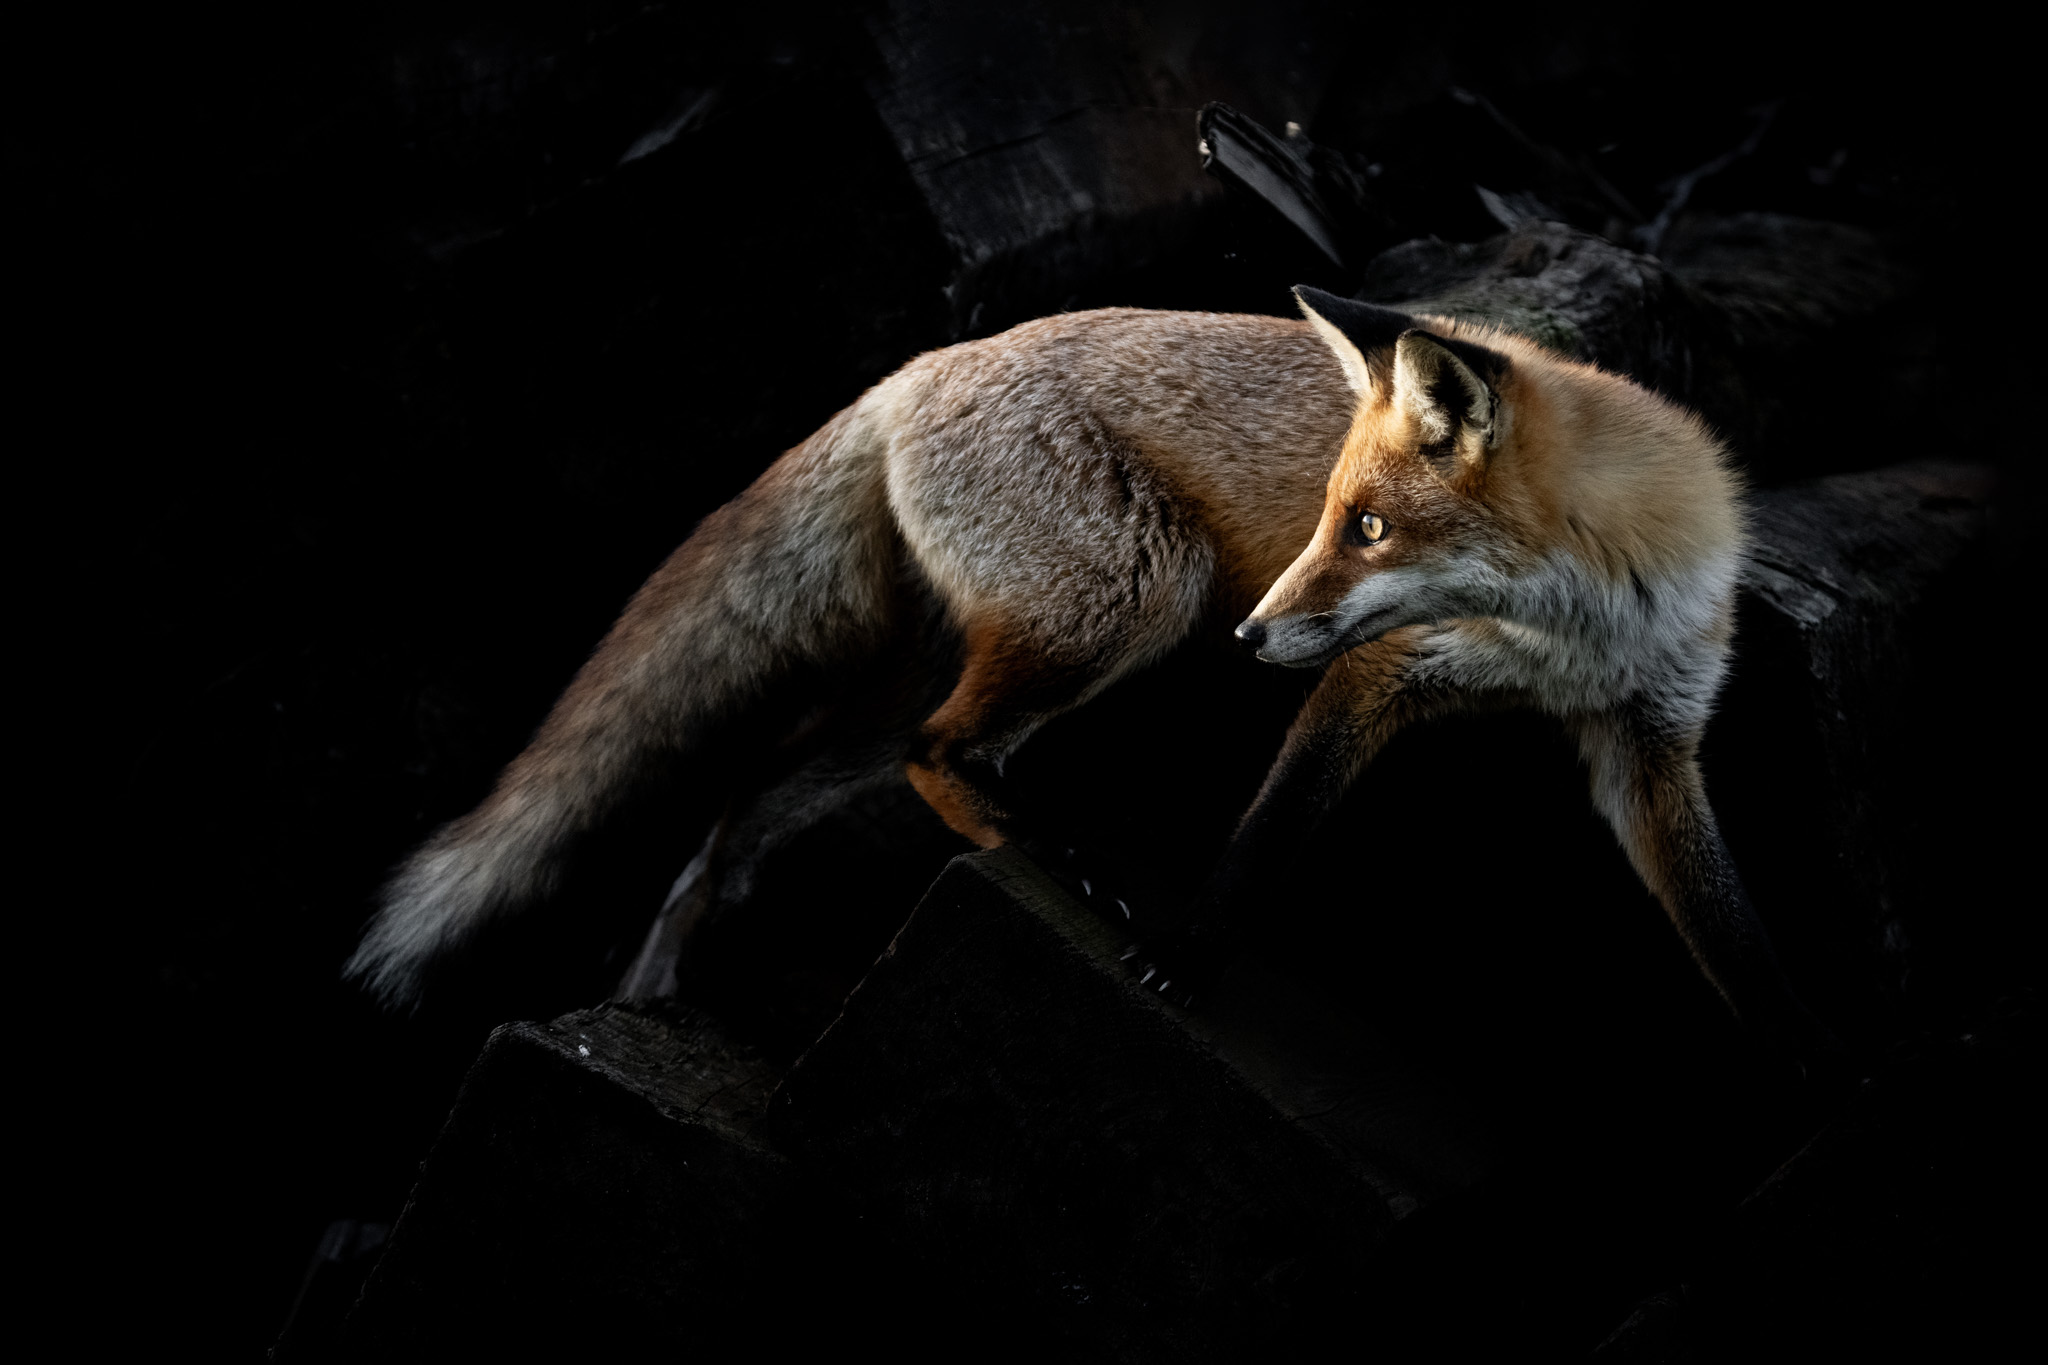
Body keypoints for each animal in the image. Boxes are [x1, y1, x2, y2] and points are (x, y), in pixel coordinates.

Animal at [348, 286, 1837, 1072]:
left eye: (1367, 528)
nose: (1250, 644)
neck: (1559, 635)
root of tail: (921, 362)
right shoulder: (1370, 680)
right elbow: (1264, 837)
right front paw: (1184, 957)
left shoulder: (1651, 742)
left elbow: (1737, 944)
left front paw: (1806, 1075)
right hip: (1133, 601)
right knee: (937, 754)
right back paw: (1050, 859)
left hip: (951, 673)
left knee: (753, 804)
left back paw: (657, 984)